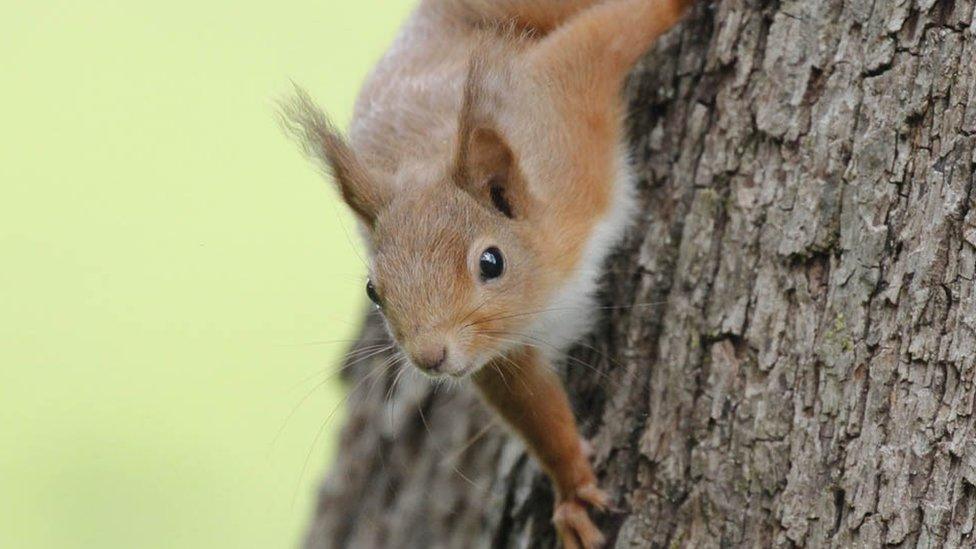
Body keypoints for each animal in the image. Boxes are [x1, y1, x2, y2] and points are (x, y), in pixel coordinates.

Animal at [282, 2, 692, 544]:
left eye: (491, 262)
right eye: (373, 290)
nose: (430, 357)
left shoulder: (564, 107)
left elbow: (611, 33)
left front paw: (677, 8)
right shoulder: (501, 352)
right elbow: (534, 409)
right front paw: (572, 489)